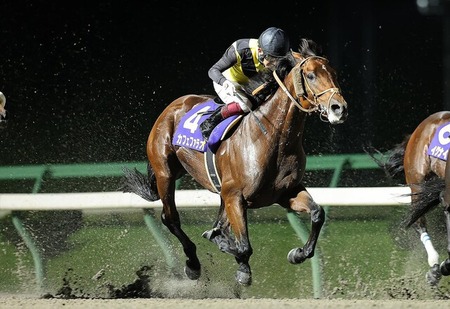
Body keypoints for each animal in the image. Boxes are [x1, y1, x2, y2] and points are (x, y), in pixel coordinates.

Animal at [120, 39, 348, 286]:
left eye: (334, 73)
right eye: (311, 75)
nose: (339, 108)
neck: (273, 138)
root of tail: (173, 106)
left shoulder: (286, 192)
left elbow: (317, 213)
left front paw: (298, 254)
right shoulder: (235, 196)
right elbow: (243, 245)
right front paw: (240, 266)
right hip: (165, 173)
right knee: (170, 218)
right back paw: (193, 264)